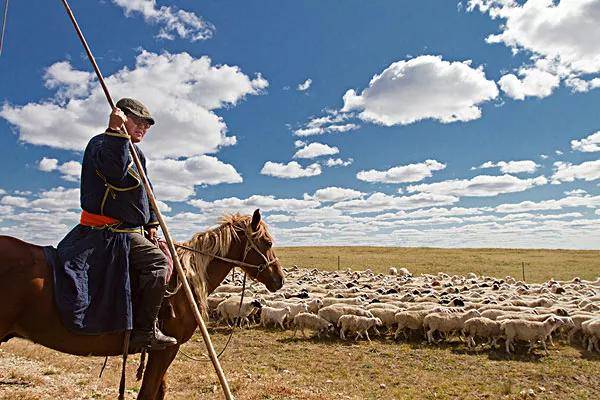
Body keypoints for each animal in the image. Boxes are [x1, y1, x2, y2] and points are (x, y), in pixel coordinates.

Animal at [0, 211, 284, 398]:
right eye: (268, 243)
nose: (279, 279)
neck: (185, 278)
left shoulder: (164, 351)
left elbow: (158, 391)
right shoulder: (166, 348)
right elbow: (148, 393)